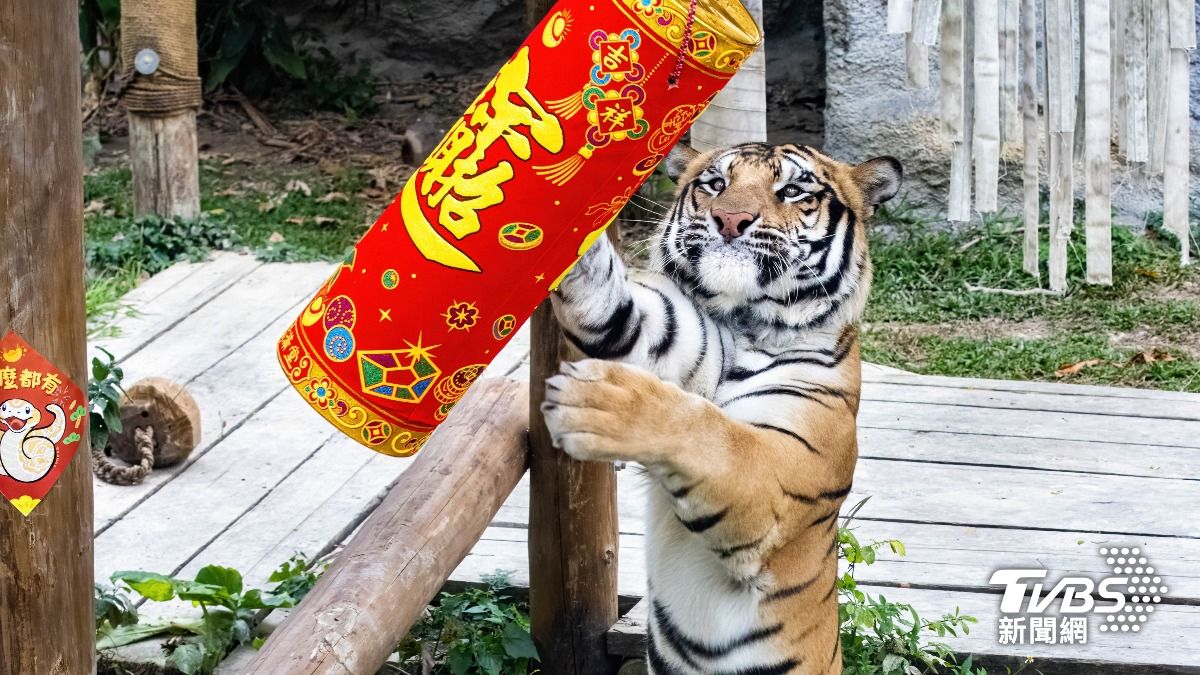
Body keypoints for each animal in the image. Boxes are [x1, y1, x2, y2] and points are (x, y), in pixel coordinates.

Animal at [540, 141, 902, 675]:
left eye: (792, 191)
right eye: (715, 184)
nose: (730, 220)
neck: (744, 319)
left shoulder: (777, 472)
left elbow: (712, 431)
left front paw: (594, 401)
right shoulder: (652, 332)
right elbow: (605, 296)